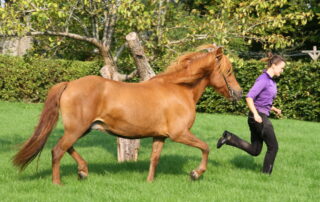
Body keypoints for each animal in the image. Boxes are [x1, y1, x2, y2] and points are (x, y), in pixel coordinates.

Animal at [13, 44, 242, 185]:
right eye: (229, 71)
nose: (239, 93)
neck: (179, 88)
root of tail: (69, 84)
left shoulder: (160, 136)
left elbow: (154, 158)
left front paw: (150, 182)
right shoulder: (180, 134)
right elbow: (205, 147)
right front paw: (195, 173)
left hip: (82, 128)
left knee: (66, 147)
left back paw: (83, 171)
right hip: (77, 128)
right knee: (58, 150)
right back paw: (58, 182)